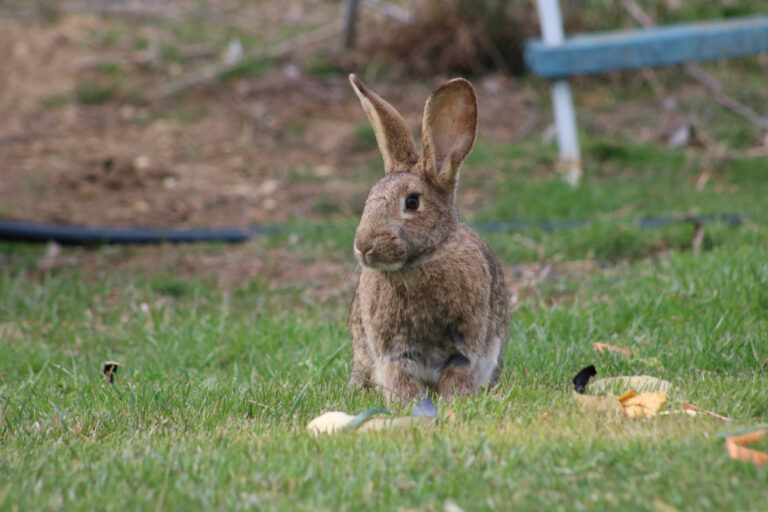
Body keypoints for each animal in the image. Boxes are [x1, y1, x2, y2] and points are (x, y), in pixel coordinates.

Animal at [347, 74, 510, 402]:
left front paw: (454, 402)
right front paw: (408, 403)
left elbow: (457, 374)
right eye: (370, 198)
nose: (363, 246)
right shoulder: (393, 354)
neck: (421, 262)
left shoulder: (465, 347)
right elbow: (400, 379)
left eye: (412, 202)